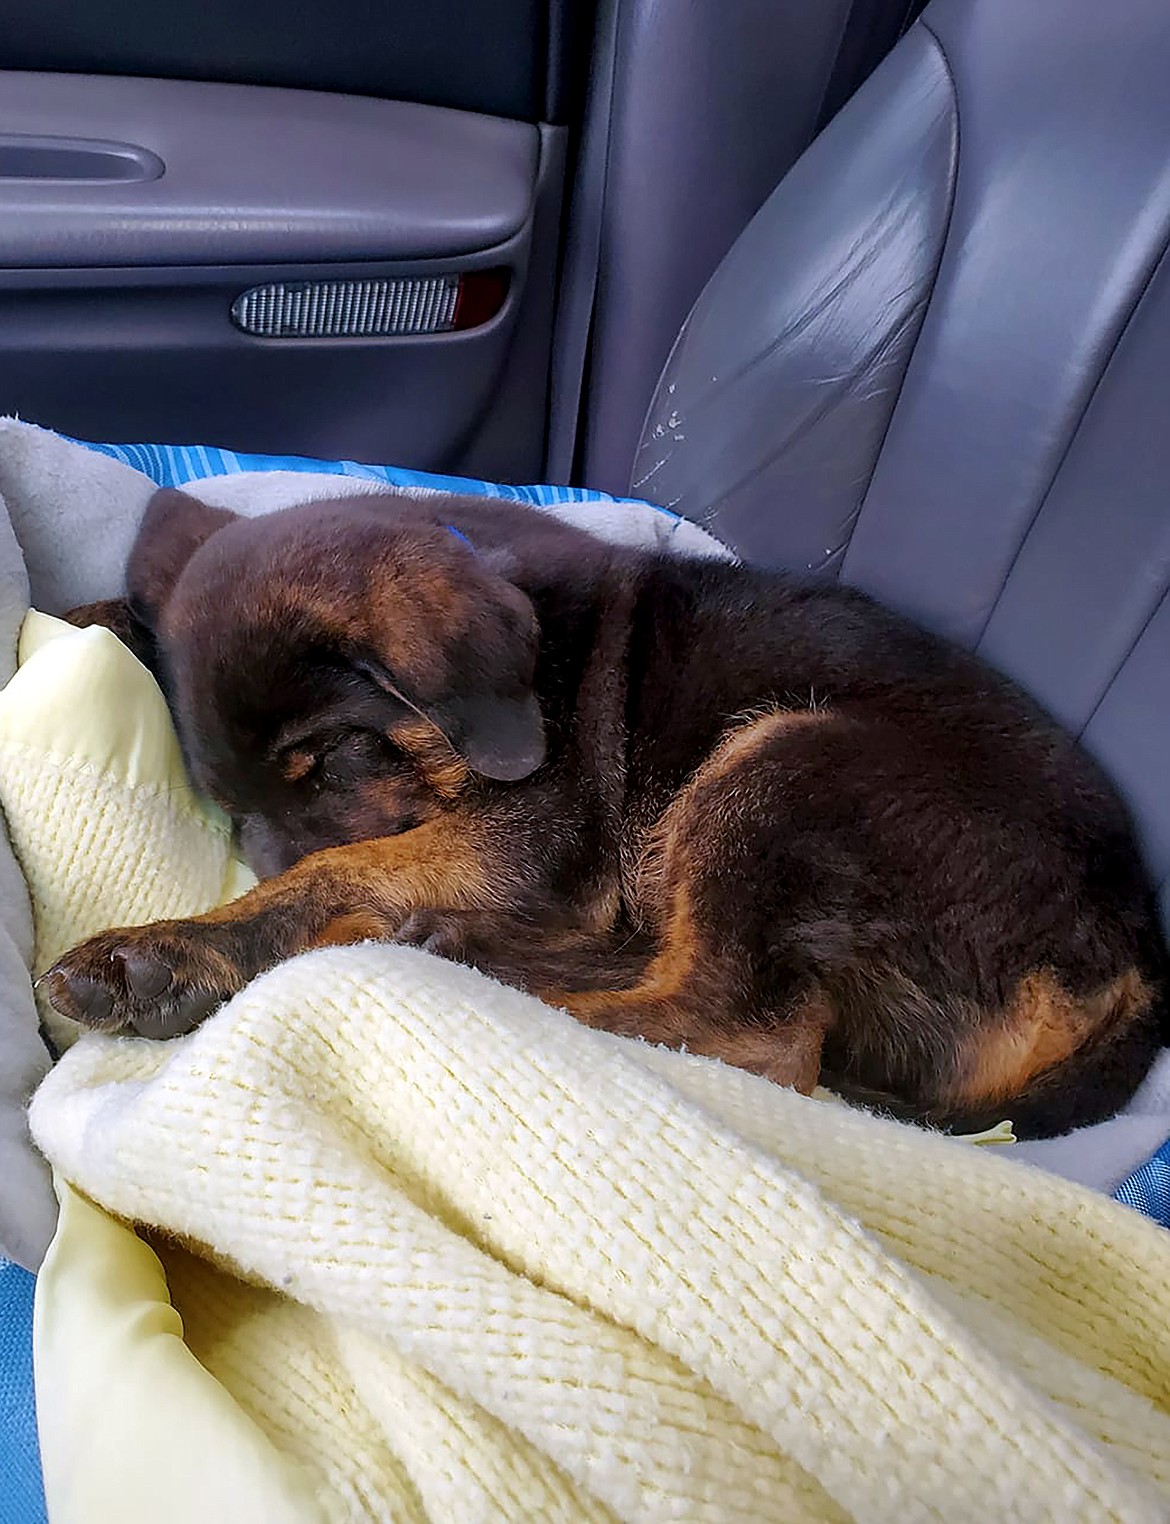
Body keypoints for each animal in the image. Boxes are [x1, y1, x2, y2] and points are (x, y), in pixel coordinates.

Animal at [43, 481, 1157, 1139]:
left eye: (335, 761)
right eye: (229, 807)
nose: (251, 862)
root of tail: (1138, 957)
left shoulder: (531, 835)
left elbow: (340, 869)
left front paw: (173, 950)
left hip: (786, 771)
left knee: (749, 1033)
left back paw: (467, 973)